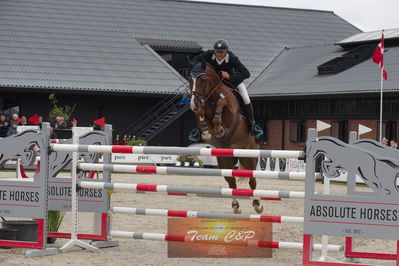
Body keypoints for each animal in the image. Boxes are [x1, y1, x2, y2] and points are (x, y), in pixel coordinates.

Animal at [190, 62, 264, 214]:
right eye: (190, 80)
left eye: (203, 80)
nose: (194, 103)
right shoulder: (203, 107)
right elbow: (201, 113)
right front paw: (205, 131)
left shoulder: (229, 113)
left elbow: (222, 101)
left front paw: (218, 127)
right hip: (225, 161)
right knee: (231, 182)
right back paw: (236, 206)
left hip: (249, 158)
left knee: (252, 181)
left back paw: (258, 205)